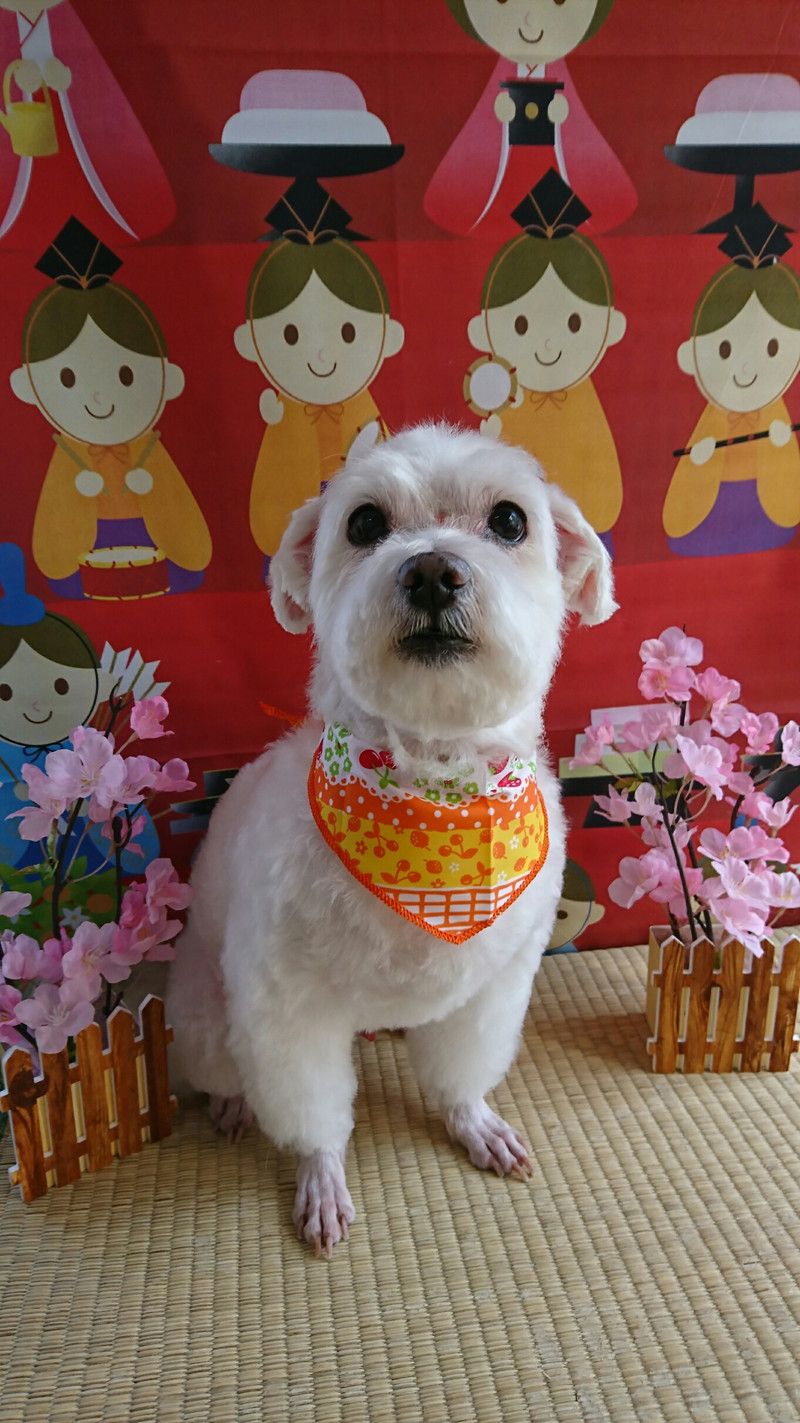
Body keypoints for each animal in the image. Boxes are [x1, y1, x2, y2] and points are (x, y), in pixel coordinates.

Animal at [166, 423, 616, 1255]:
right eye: (365, 522)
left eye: (510, 521)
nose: (434, 571)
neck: (431, 791)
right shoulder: (288, 1010)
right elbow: (312, 1112)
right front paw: (319, 1176)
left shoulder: (492, 989)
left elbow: (461, 1075)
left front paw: (474, 1122)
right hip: (209, 1023)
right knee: (224, 1072)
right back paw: (233, 1105)